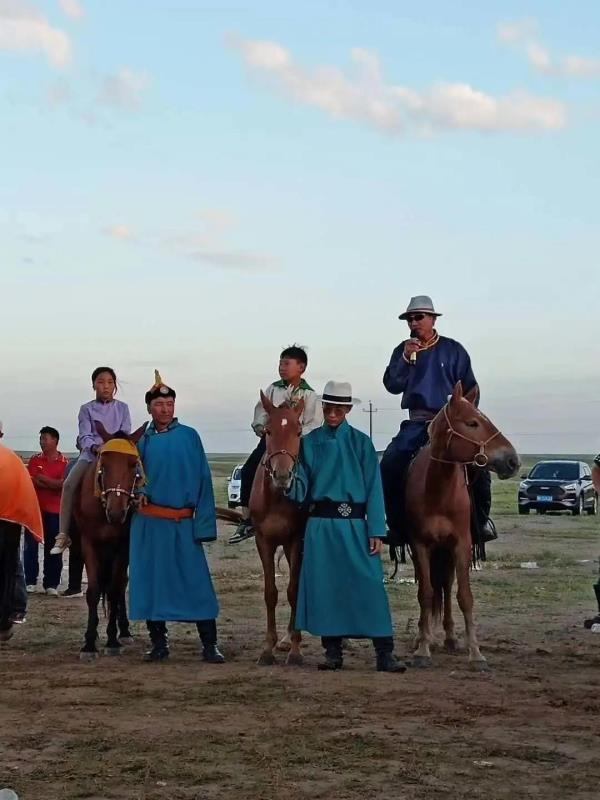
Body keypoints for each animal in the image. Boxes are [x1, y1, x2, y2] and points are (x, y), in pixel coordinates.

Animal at [76, 424, 146, 664]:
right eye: (103, 465)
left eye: (134, 465)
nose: (116, 513)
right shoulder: (88, 543)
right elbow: (93, 590)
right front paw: (89, 644)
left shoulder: (122, 547)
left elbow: (115, 590)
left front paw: (113, 640)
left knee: (120, 584)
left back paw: (123, 632)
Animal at [406, 382, 524, 668]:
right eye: (472, 423)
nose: (513, 461)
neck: (437, 491)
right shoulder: (420, 545)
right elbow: (426, 594)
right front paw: (423, 649)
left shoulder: (461, 544)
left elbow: (465, 597)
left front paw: (476, 652)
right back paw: (424, 636)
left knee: (448, 587)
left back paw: (449, 637)